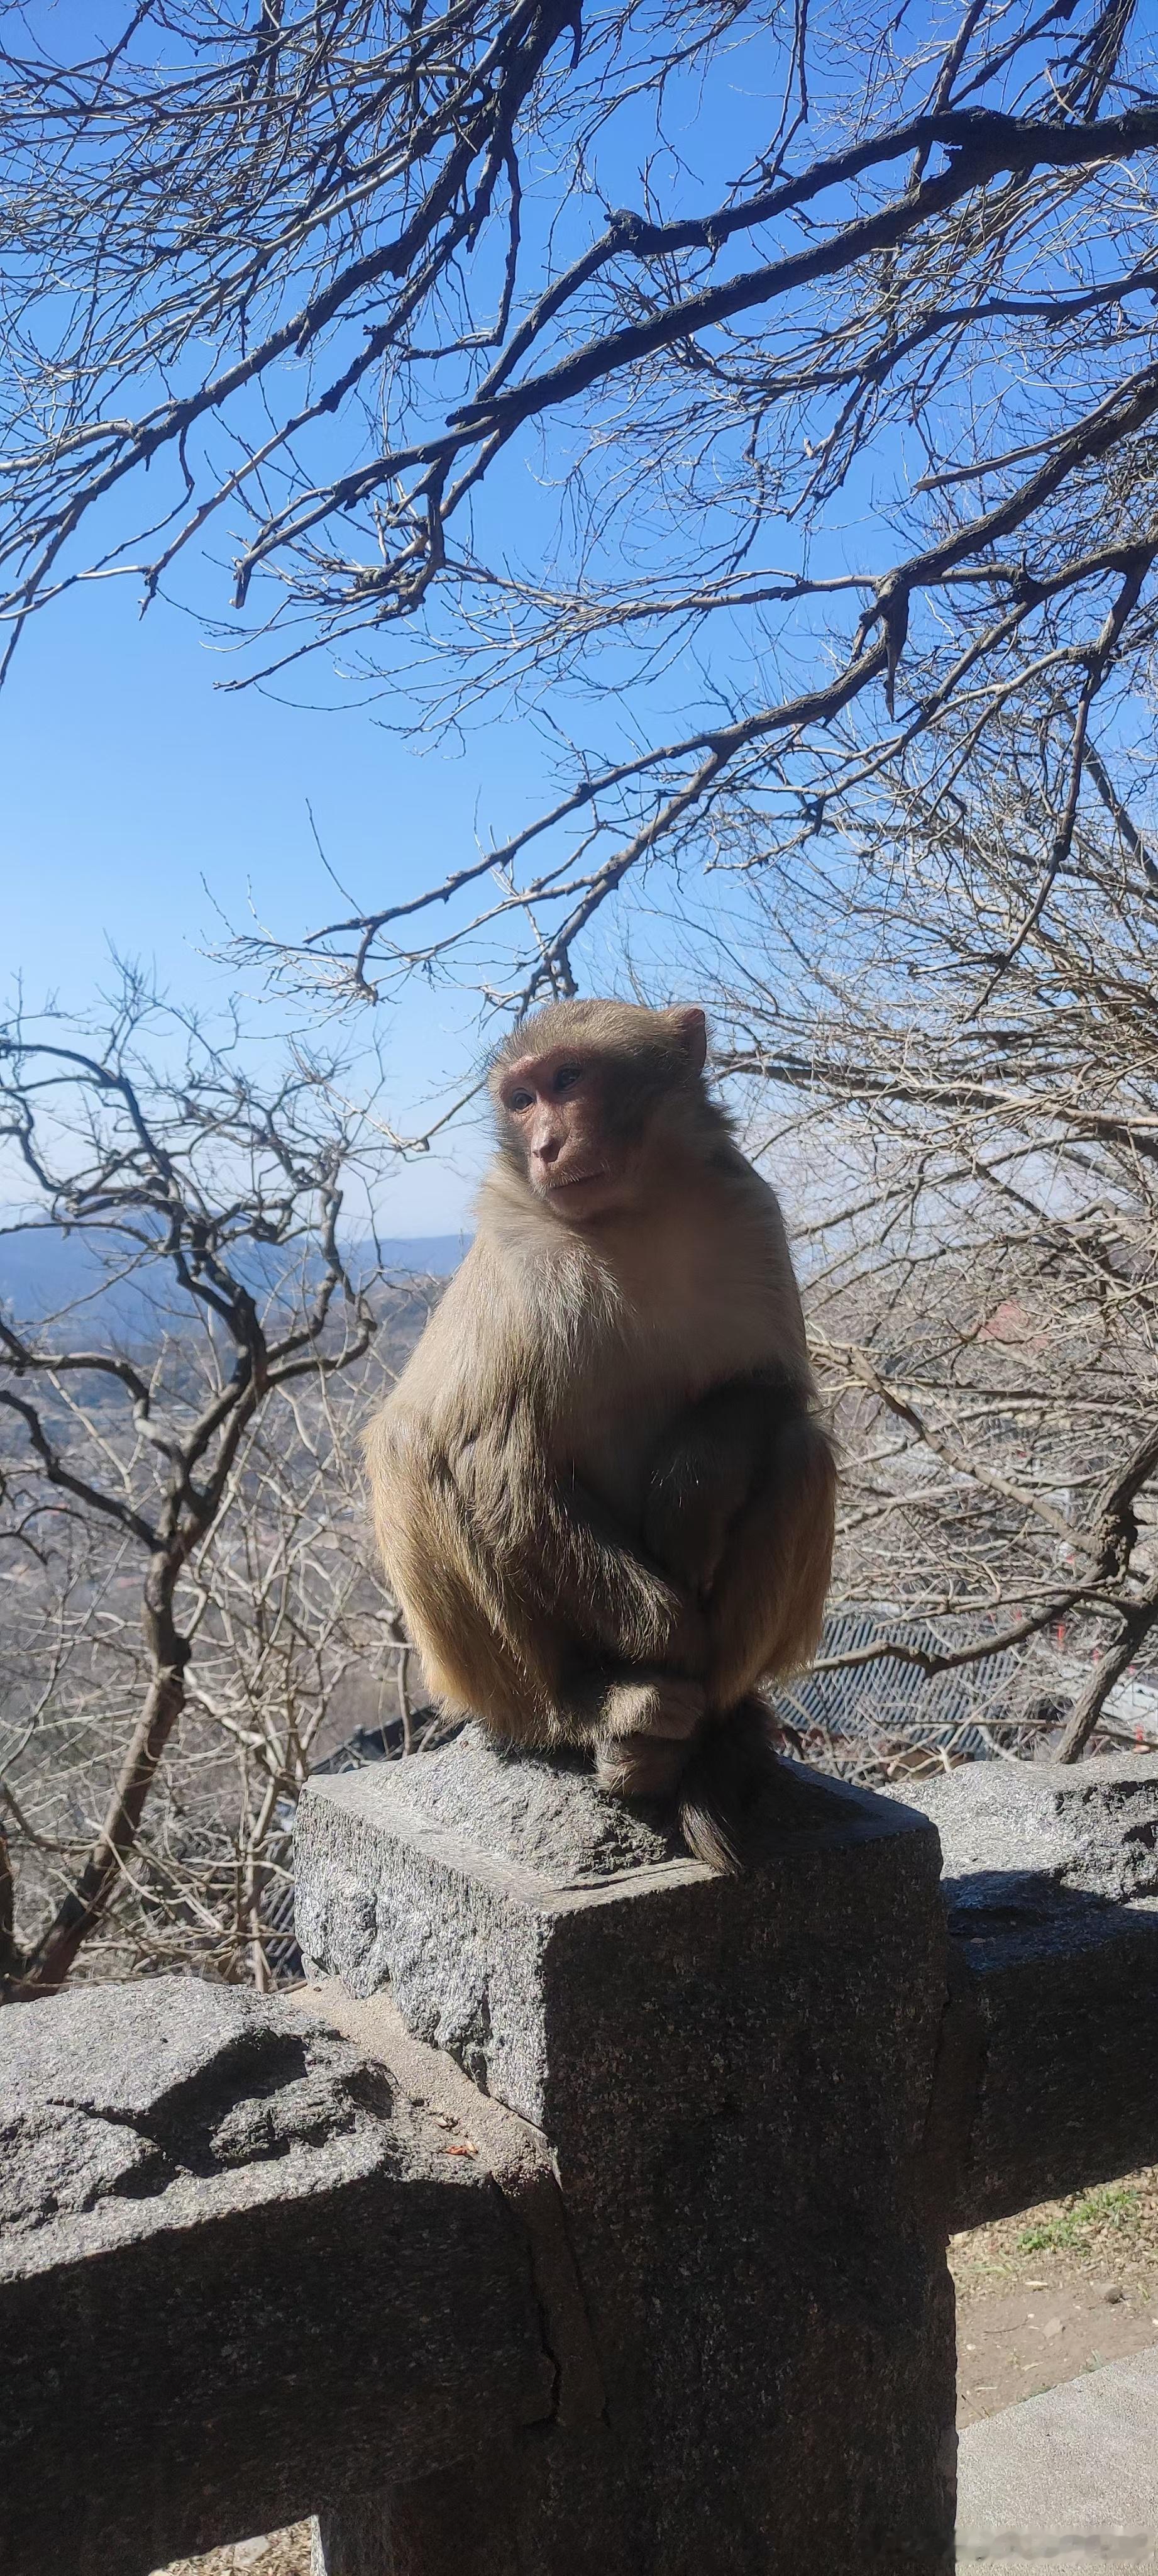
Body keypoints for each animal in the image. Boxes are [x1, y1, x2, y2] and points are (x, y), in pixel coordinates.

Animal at [365, 994, 839, 1865]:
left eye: (568, 1079)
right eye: (521, 1100)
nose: (545, 1145)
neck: (634, 1216)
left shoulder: (750, 1211)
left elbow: (773, 1390)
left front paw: (689, 1494)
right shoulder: (524, 1259)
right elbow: (493, 1462)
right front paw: (674, 1638)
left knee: (799, 1453)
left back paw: (717, 1725)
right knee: (416, 1453)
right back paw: (596, 1716)